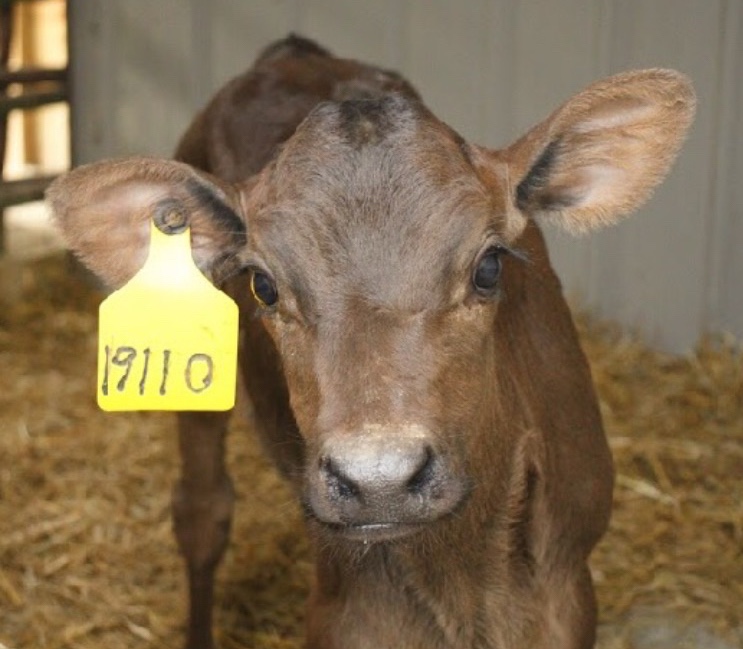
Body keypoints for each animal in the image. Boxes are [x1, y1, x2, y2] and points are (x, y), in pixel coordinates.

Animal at [47, 35, 695, 649]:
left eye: (489, 267)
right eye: (263, 285)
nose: (379, 479)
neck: (464, 576)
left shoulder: (568, 584)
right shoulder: (347, 607)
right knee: (203, 511)